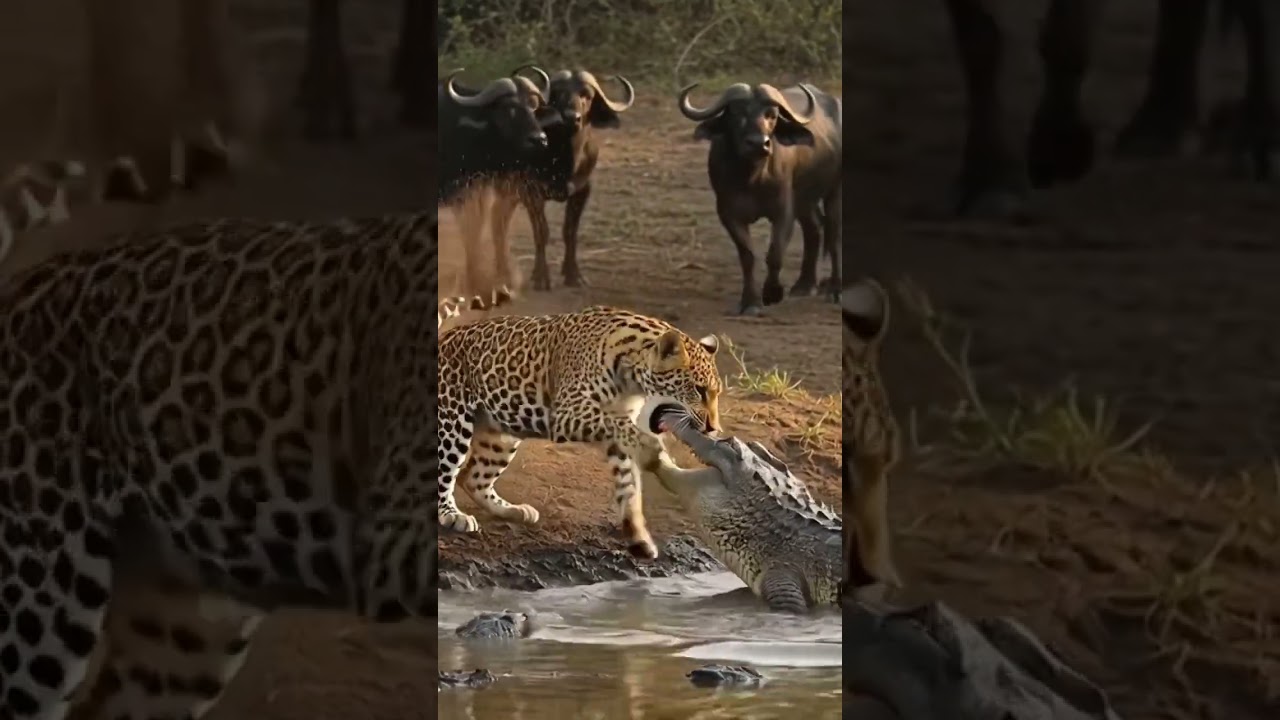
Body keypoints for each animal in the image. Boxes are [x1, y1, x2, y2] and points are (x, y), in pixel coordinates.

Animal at [437, 306, 724, 560]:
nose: (714, 428)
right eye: (699, 390)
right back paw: (451, 514)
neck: (631, 376)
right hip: (452, 421)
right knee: (446, 472)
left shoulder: (615, 431)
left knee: (472, 477)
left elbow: (628, 481)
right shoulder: (569, 411)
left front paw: (639, 536)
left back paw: (514, 511)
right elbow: (623, 427)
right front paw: (653, 449)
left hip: (501, 436)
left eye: (716, 392)